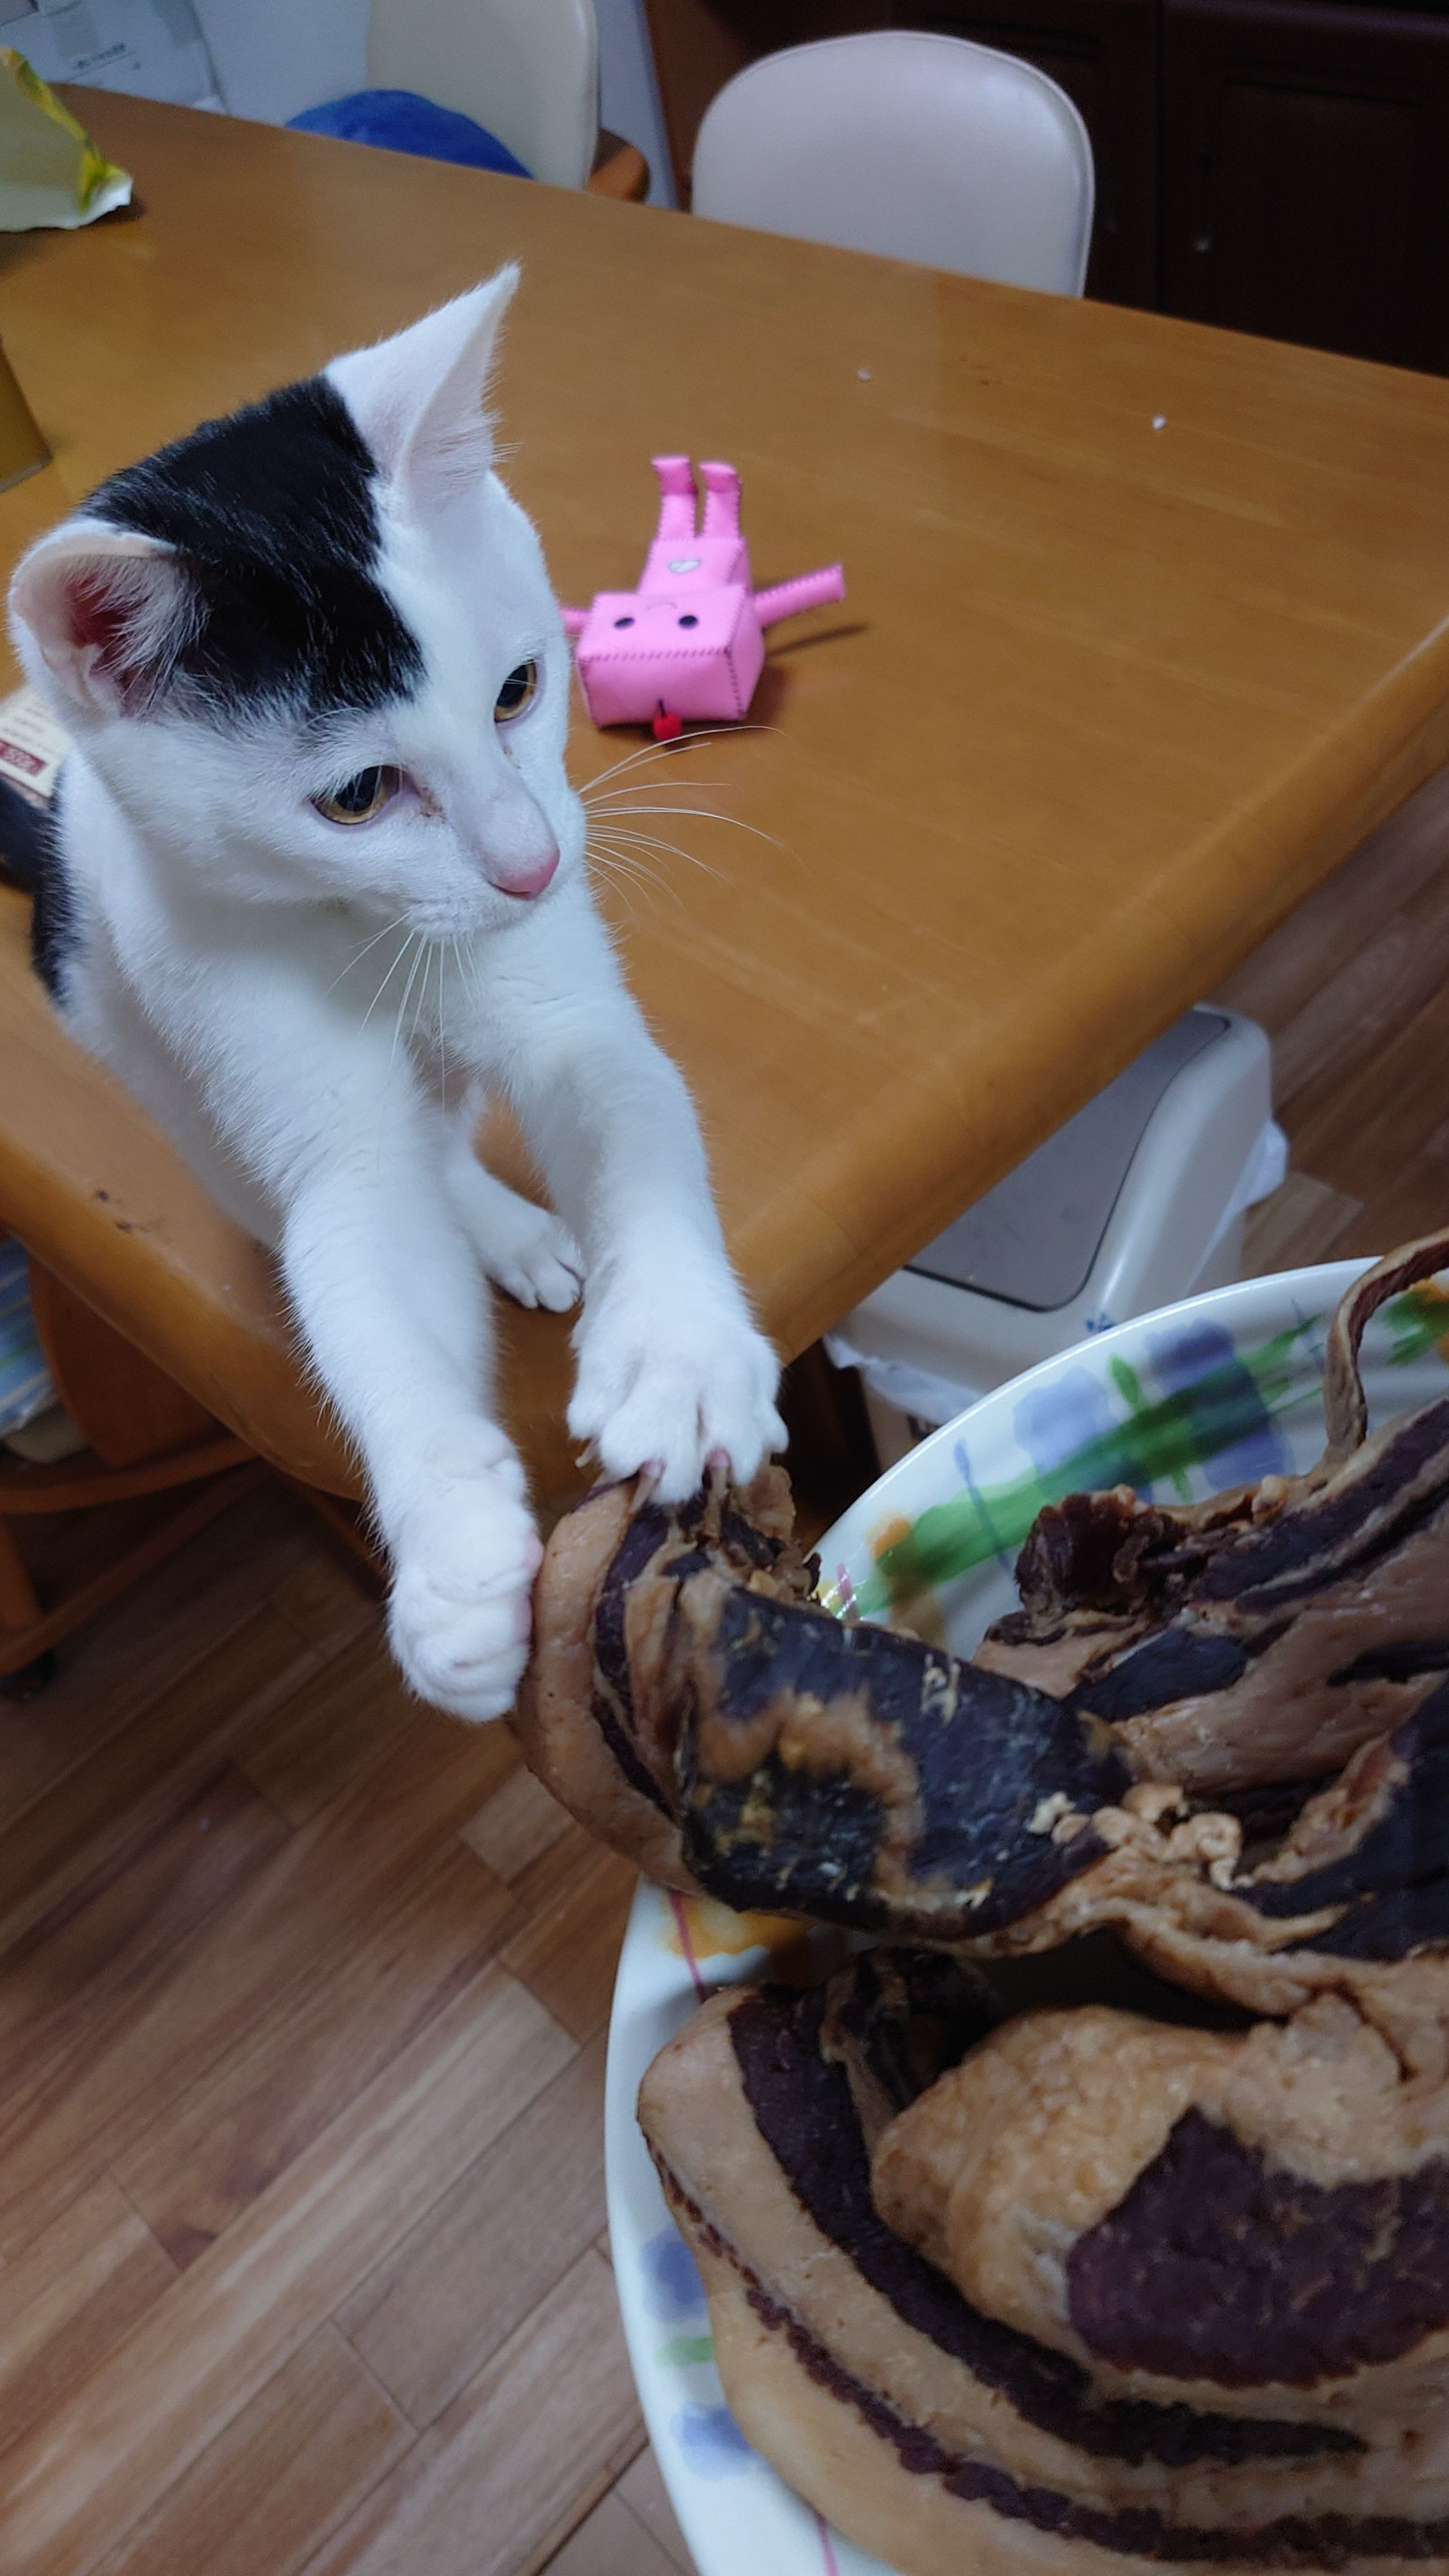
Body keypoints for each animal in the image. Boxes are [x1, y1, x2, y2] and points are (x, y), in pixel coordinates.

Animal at [3, 267, 784, 1722]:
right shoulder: (267, 1051)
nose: (534, 864)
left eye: (522, 689)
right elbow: (358, 1241)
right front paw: (449, 1551)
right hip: (156, 1069)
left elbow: (621, 1098)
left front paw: (677, 1354)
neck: (368, 929)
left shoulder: (568, 1009)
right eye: (358, 796)